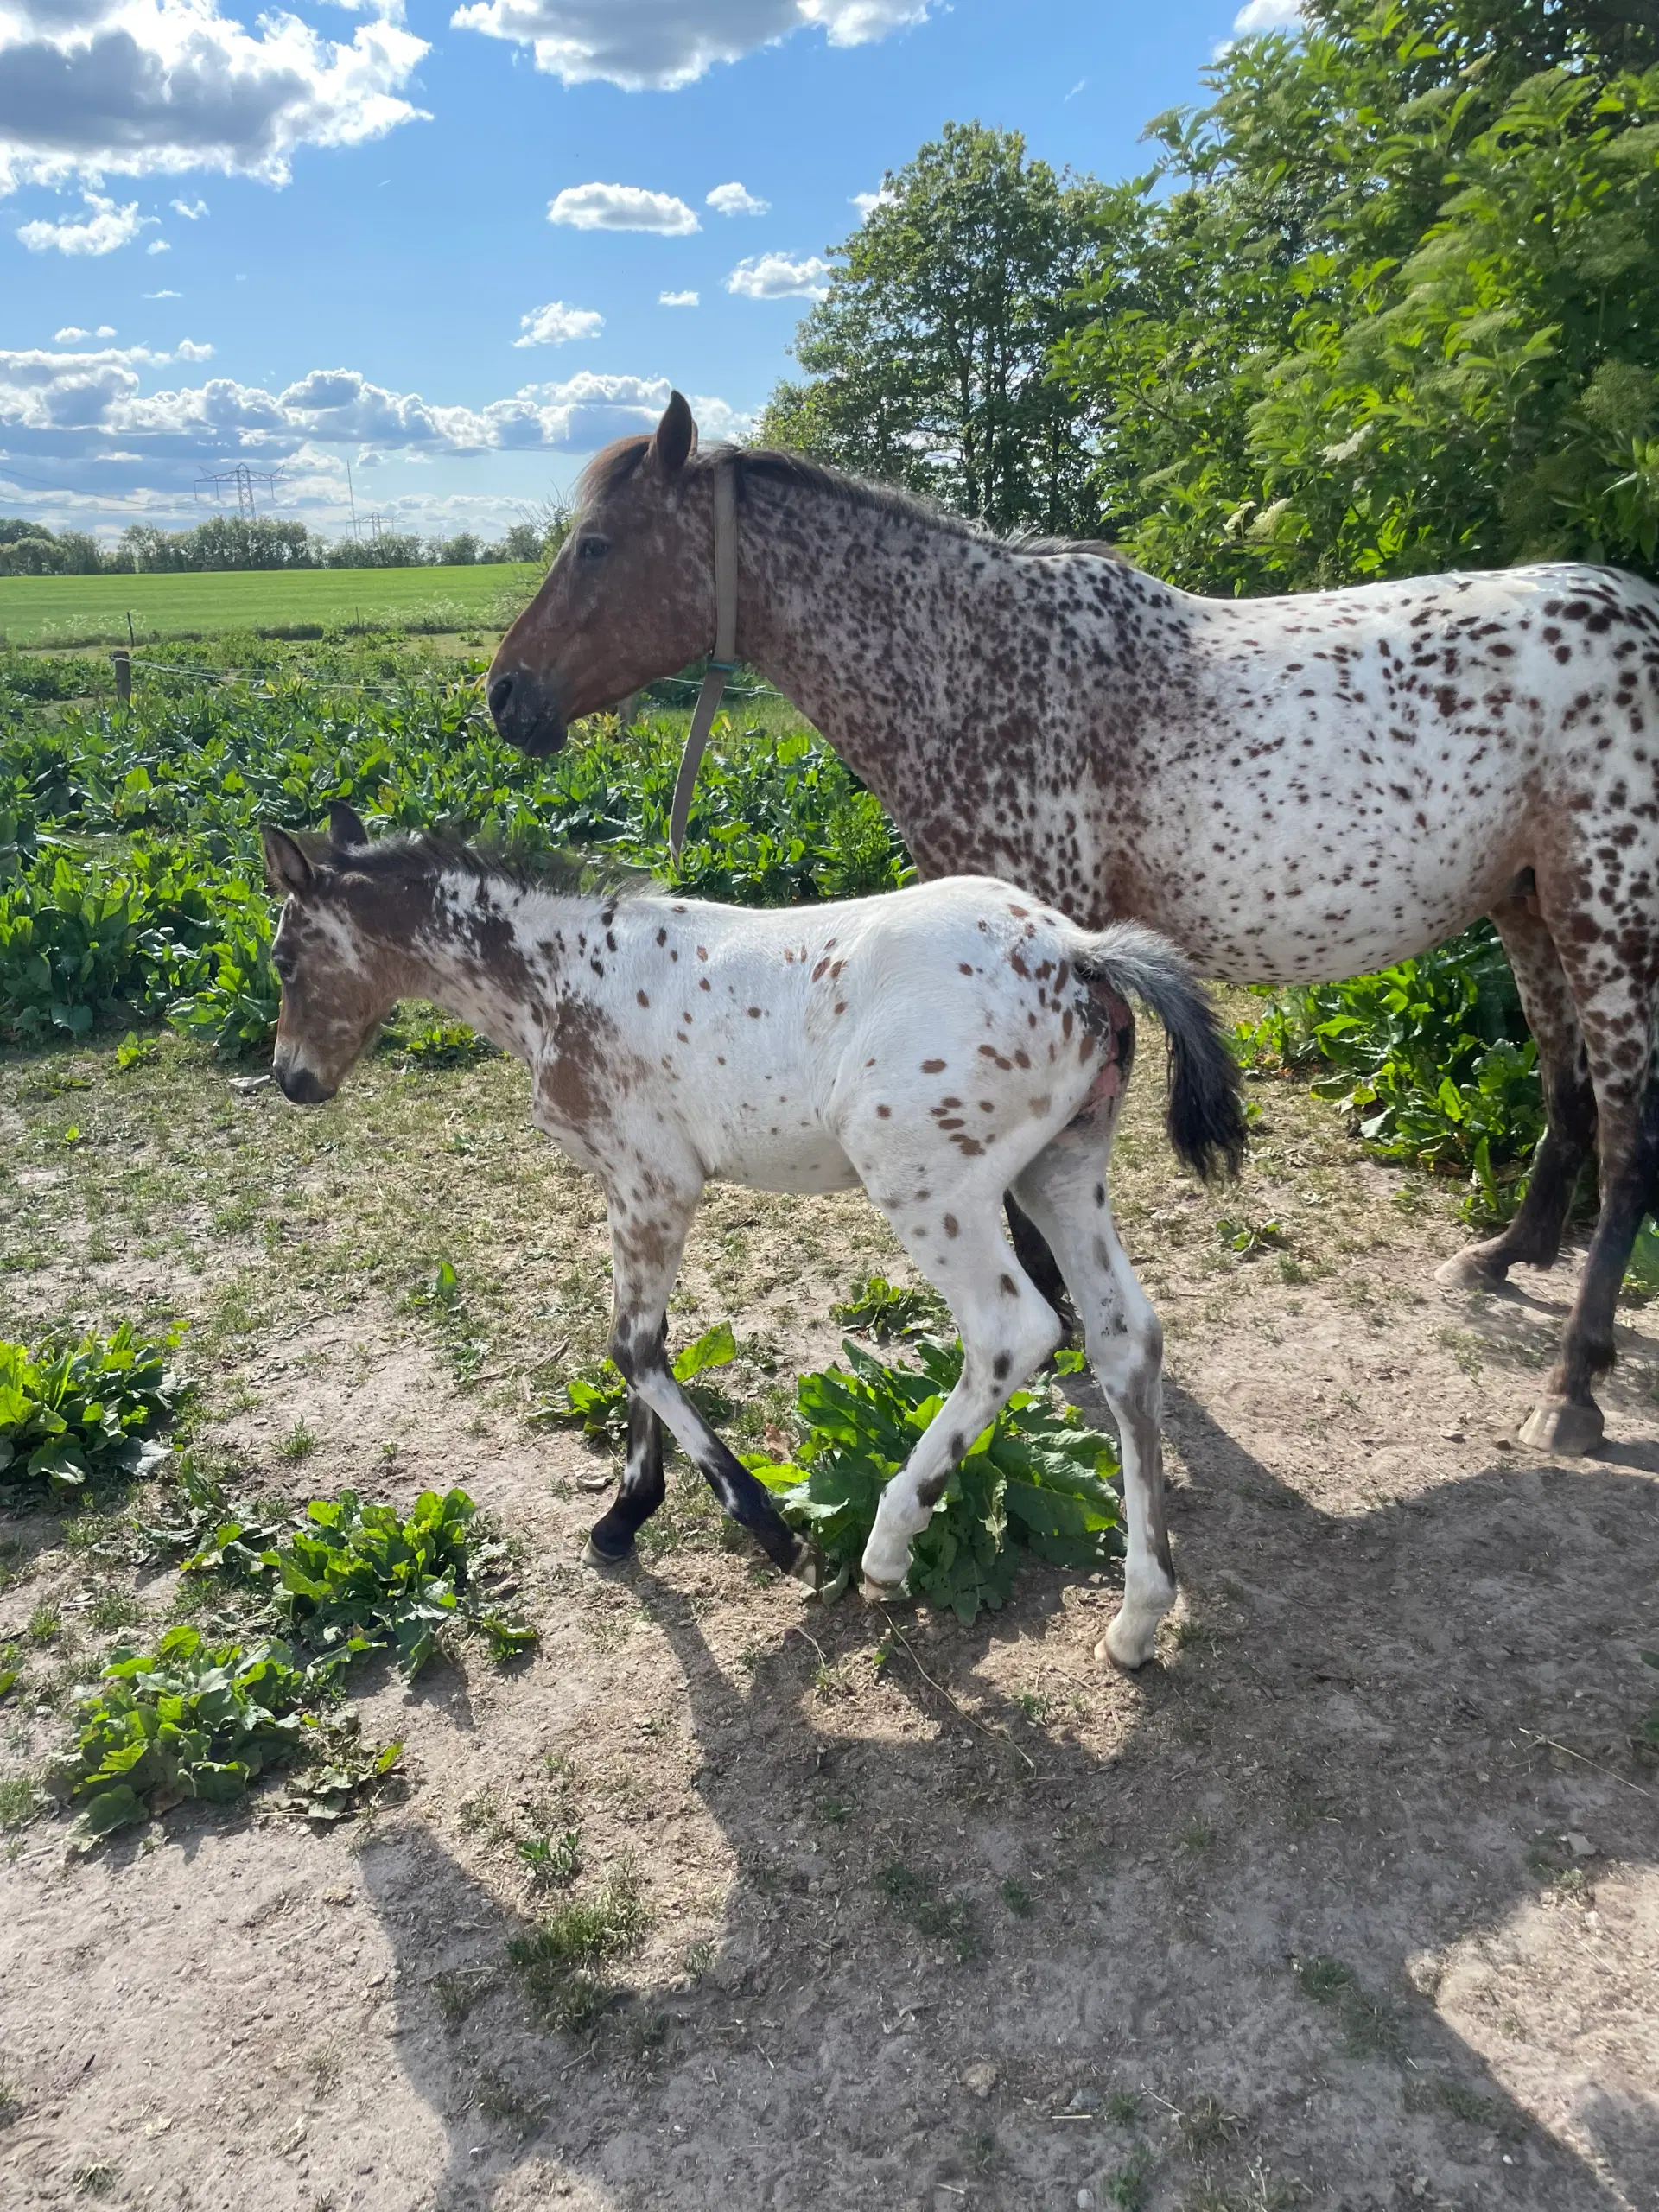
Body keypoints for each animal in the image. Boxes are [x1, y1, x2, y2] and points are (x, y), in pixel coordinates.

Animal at [263, 809, 1247, 1663]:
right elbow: (647, 1343)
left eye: (282, 956)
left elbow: (631, 1349)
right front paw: (625, 1516)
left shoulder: (655, 1182)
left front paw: (776, 1537)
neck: (559, 975)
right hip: (1061, 1171)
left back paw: (885, 1548)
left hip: (928, 1184)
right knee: (1125, 1342)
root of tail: (1078, 951)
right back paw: (1137, 1619)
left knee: (1018, 1330)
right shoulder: (630, 1190)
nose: (290, 1080)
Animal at [498, 389, 1659, 1459]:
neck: (970, 664)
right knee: (1566, 1093)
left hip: (1611, 912)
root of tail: (1637, 611)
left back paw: (1572, 1389)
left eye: (595, 545)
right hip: (1526, 904)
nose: (504, 696)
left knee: (1629, 1140)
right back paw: (1504, 1258)